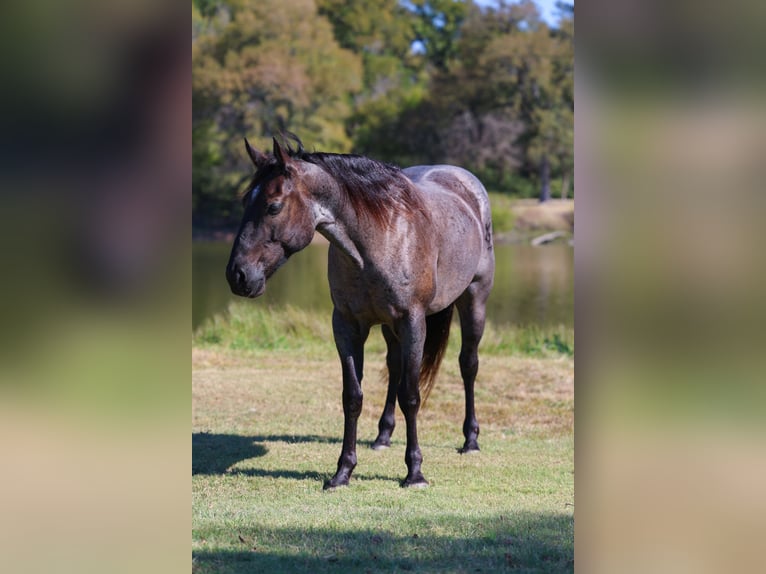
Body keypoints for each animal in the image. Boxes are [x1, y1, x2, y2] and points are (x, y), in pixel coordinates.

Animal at [226, 135, 494, 489]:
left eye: (273, 206)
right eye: (245, 201)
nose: (237, 276)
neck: (378, 240)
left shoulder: (413, 322)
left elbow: (411, 395)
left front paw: (415, 472)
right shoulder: (348, 325)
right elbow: (352, 397)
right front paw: (343, 471)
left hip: (473, 300)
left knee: (468, 365)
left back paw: (471, 439)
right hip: (390, 327)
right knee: (394, 367)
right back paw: (383, 436)